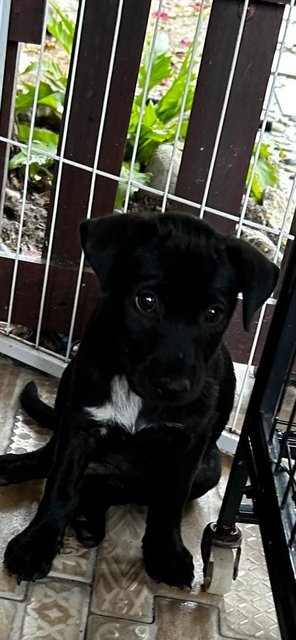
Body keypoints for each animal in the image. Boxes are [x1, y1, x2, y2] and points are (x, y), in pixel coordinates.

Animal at [0, 214, 278, 584]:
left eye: (213, 312)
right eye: (145, 301)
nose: (175, 386)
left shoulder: (188, 445)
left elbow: (168, 500)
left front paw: (166, 553)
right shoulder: (81, 423)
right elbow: (60, 485)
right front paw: (37, 543)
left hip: (208, 470)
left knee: (114, 485)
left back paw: (89, 516)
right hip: (69, 386)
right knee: (53, 458)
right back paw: (12, 467)